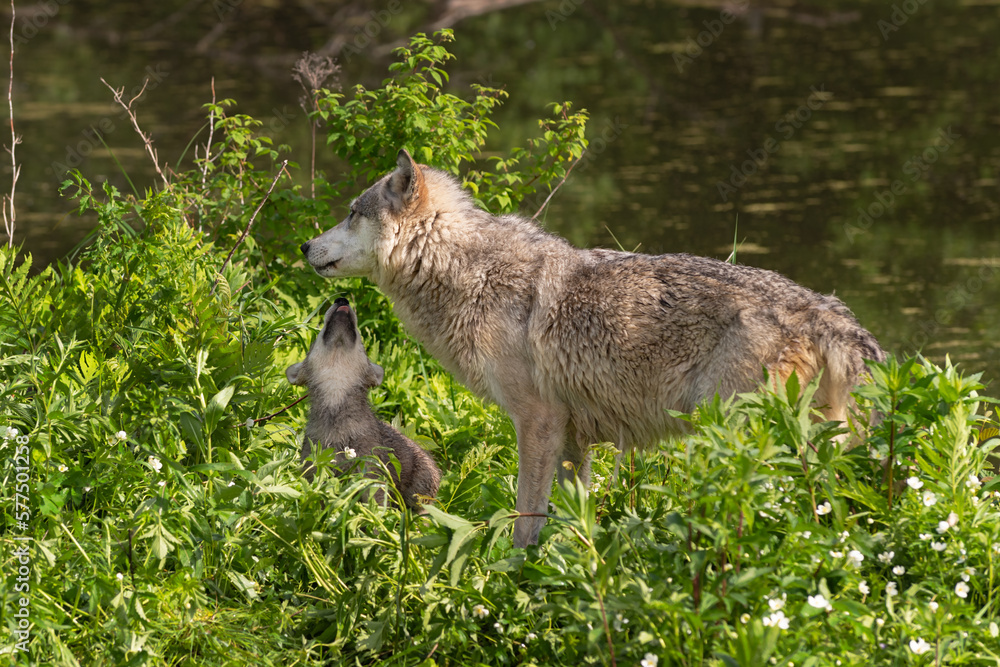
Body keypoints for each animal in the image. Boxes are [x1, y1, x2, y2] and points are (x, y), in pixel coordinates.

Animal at [286, 297, 441, 511]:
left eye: (362, 342)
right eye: (317, 335)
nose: (342, 298)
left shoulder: (372, 476)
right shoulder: (312, 470)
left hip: (420, 492)